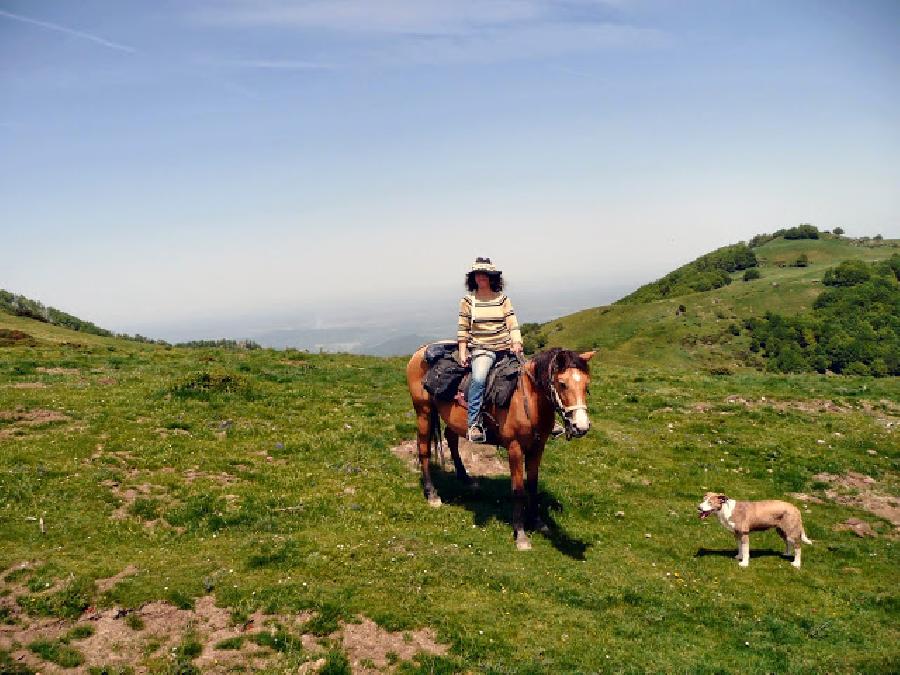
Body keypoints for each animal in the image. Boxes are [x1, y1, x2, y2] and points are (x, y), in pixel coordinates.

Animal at [406, 348, 592, 548]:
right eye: (562, 384)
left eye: (586, 385)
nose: (581, 427)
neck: (526, 399)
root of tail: (419, 353)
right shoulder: (514, 448)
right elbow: (518, 490)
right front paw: (520, 534)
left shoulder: (537, 447)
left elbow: (533, 485)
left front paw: (538, 522)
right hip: (424, 412)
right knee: (423, 449)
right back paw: (432, 494)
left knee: (451, 438)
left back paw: (466, 479)